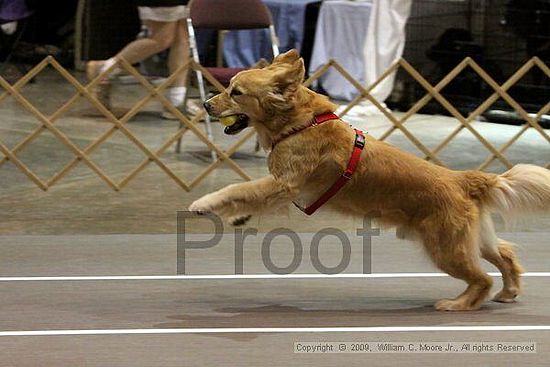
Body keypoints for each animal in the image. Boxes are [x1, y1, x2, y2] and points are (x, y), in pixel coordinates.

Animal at [191, 49, 550, 310]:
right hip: (472, 239)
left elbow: (237, 187)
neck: (300, 123)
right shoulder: (282, 187)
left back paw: (457, 304)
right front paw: (238, 216)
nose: (206, 104)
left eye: (236, 92)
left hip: (445, 247)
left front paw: (204, 203)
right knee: (505, 255)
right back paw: (509, 292)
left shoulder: (284, 183)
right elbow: (248, 195)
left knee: (481, 278)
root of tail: (463, 178)